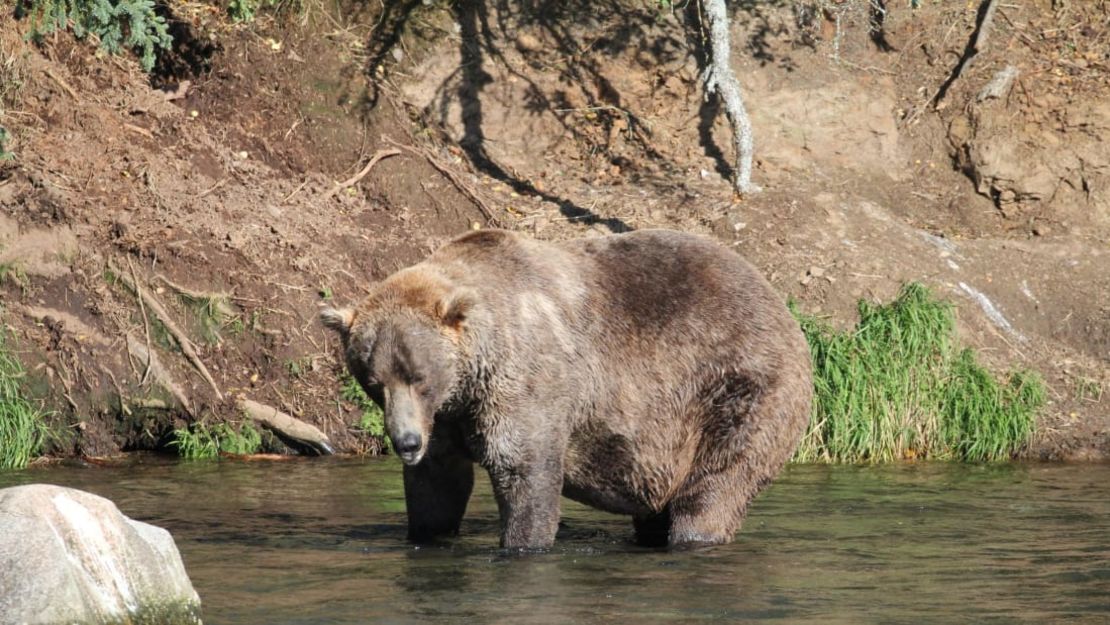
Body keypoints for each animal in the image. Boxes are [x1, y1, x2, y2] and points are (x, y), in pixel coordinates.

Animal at [321, 228, 808, 548]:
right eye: (374, 381)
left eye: (419, 377)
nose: (405, 442)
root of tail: (779, 302)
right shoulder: (447, 418)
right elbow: (438, 484)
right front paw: (428, 533)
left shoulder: (526, 382)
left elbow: (525, 470)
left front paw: (522, 542)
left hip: (738, 388)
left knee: (716, 484)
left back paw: (694, 534)